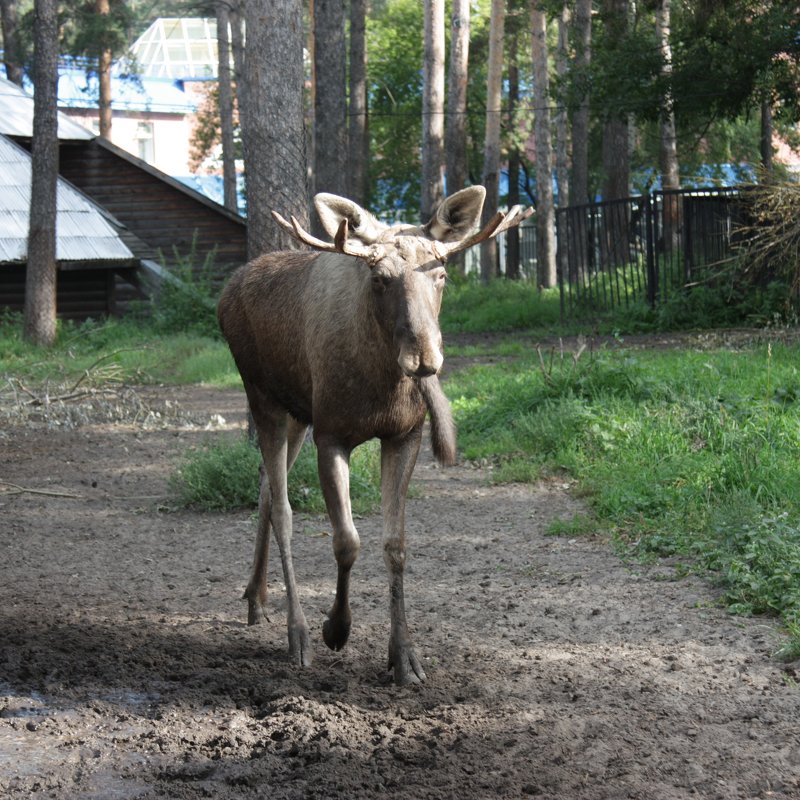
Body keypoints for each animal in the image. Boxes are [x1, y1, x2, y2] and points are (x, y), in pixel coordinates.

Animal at [217, 186, 532, 680]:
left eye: (441, 273)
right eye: (380, 279)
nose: (424, 357)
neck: (381, 386)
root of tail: (226, 291)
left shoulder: (404, 435)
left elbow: (395, 544)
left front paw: (404, 656)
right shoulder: (331, 436)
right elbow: (347, 541)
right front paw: (336, 628)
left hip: (297, 412)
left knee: (267, 488)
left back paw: (255, 597)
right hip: (262, 397)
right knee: (283, 507)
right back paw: (297, 632)